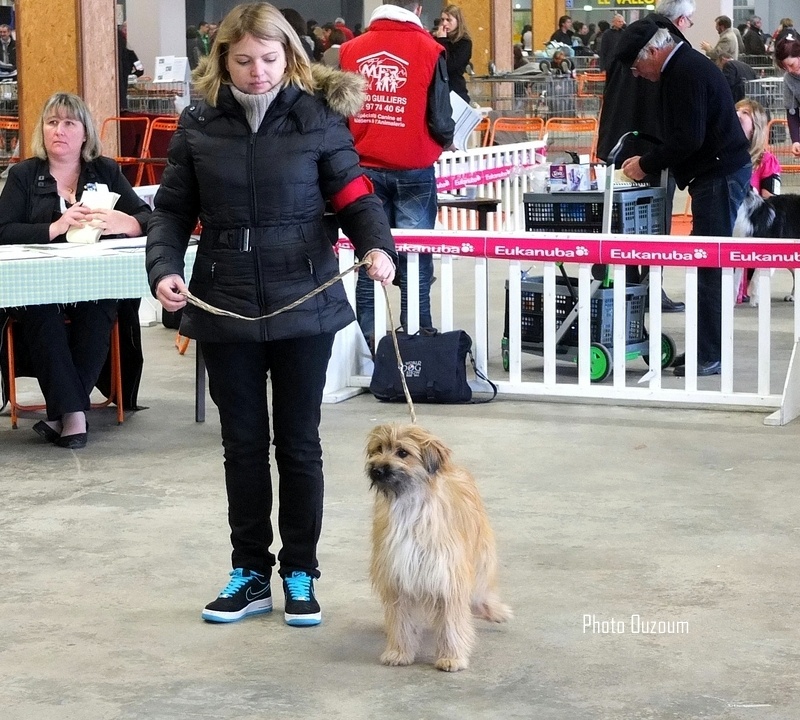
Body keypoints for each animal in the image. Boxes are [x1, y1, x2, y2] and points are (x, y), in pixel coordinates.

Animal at [364, 422, 510, 668]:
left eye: (402, 452)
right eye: (378, 448)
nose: (376, 470)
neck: (409, 505)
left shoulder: (448, 575)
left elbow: (452, 622)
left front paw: (452, 657)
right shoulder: (397, 576)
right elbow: (401, 621)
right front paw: (399, 652)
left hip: (481, 555)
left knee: (482, 590)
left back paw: (492, 610)